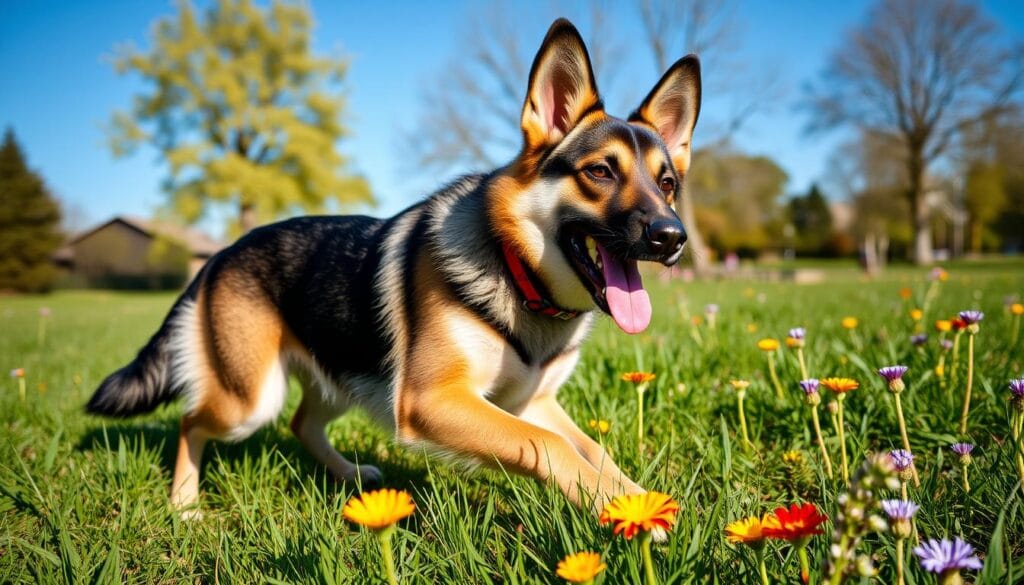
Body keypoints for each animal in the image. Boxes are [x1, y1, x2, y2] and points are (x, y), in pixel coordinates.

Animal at [88, 18, 700, 514]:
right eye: (600, 172)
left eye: (668, 184)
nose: (673, 237)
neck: (515, 271)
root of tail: (219, 253)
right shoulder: (435, 401)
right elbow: (548, 447)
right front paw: (615, 505)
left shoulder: (531, 403)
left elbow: (594, 449)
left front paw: (636, 502)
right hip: (248, 401)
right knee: (191, 421)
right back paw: (185, 504)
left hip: (342, 378)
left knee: (302, 424)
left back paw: (351, 477)